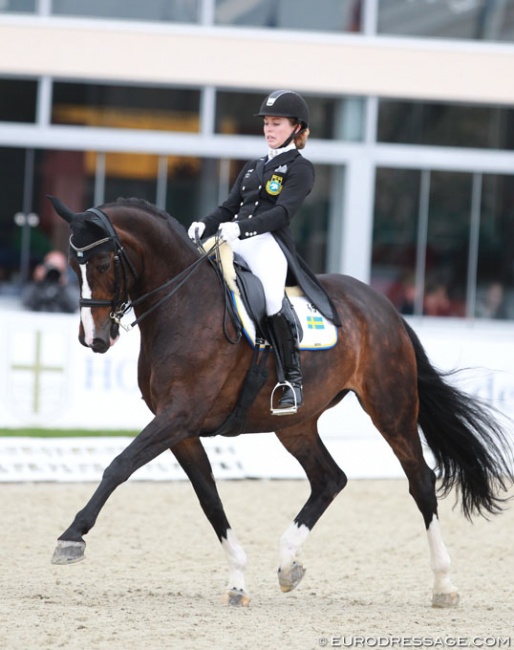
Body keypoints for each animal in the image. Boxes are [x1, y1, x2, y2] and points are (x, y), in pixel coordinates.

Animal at [49, 195, 512, 604]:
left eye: (104, 262)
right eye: (73, 265)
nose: (94, 339)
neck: (183, 305)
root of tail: (385, 308)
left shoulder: (178, 415)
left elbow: (119, 465)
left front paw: (71, 537)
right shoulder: (180, 428)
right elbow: (209, 497)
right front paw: (237, 580)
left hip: (391, 409)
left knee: (421, 482)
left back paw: (444, 585)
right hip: (295, 424)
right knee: (329, 479)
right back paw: (289, 563)